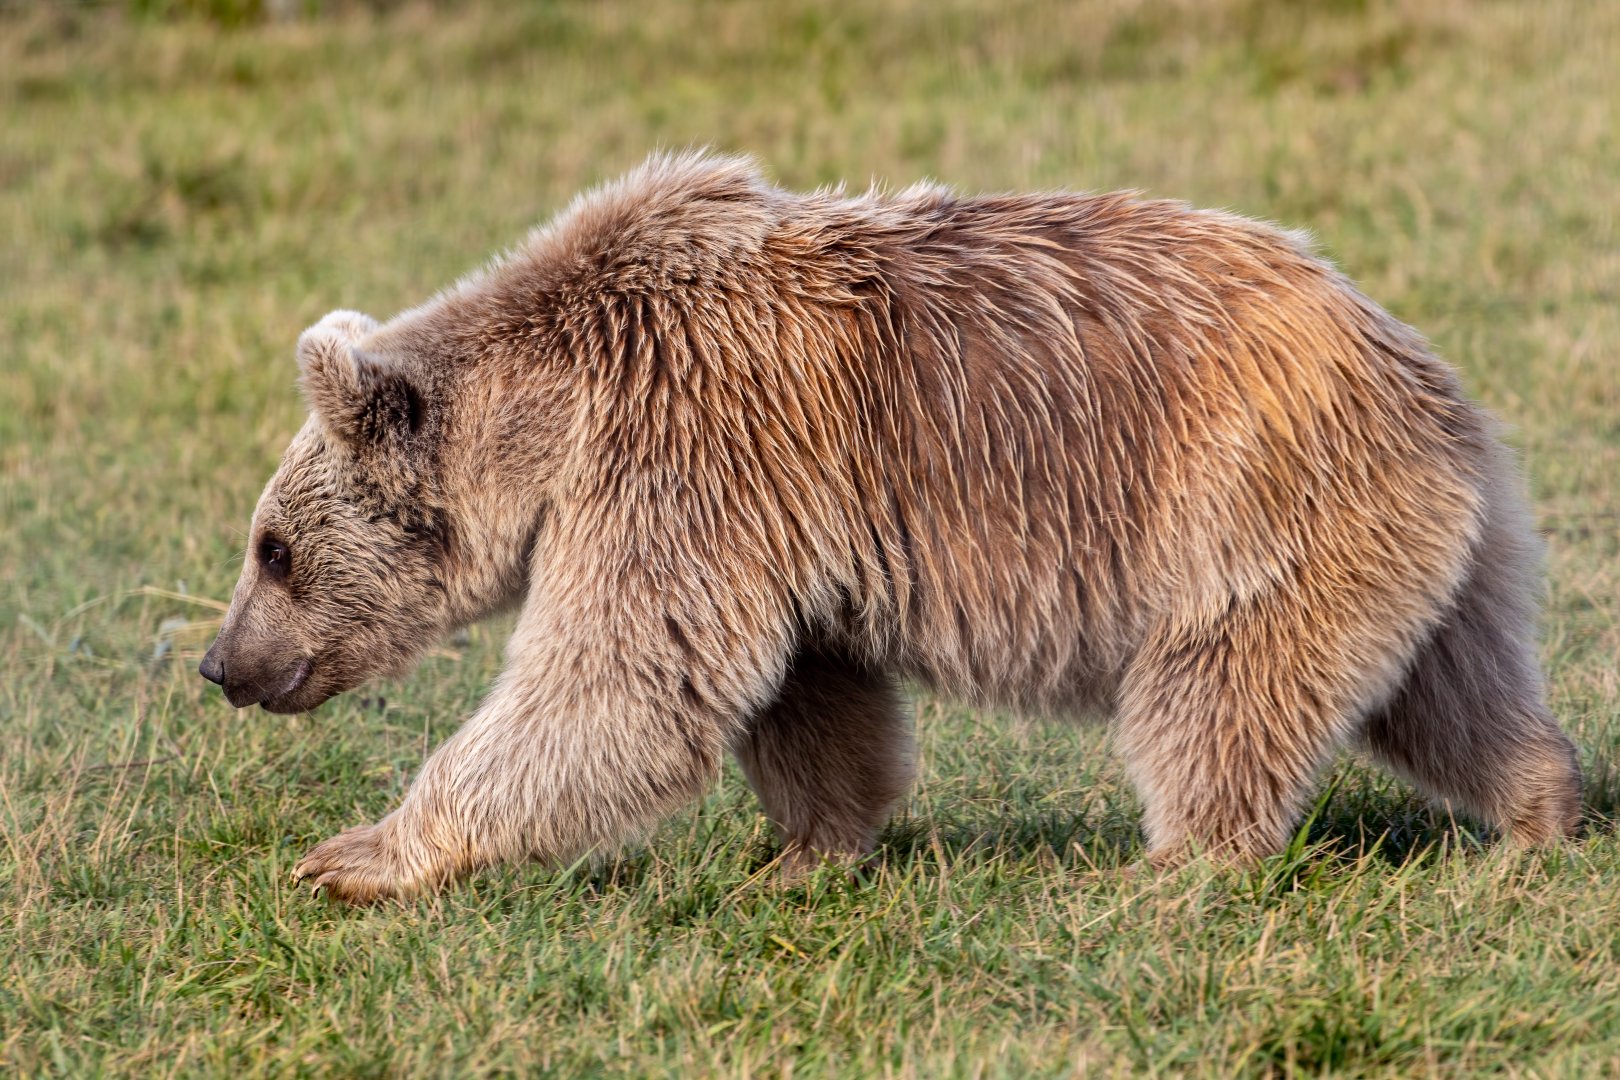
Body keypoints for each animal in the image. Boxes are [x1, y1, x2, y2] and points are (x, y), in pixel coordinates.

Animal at [198, 151, 1582, 904]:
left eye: (271, 549)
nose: (221, 662)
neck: (557, 417)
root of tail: (1419, 364)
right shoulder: (768, 514)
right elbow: (804, 694)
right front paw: (804, 853)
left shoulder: (685, 449)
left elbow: (619, 681)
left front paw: (357, 854)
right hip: (1412, 537)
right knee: (1450, 692)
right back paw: (1539, 814)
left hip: (1246, 507)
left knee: (1217, 692)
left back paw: (1170, 871)